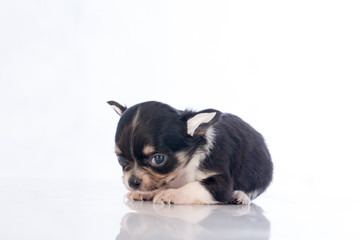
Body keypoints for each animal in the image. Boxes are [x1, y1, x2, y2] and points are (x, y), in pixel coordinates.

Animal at [107, 101, 272, 204]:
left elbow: (193, 186)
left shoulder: (220, 182)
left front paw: (171, 193)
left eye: (158, 159)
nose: (132, 182)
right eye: (121, 160)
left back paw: (240, 196)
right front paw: (145, 193)